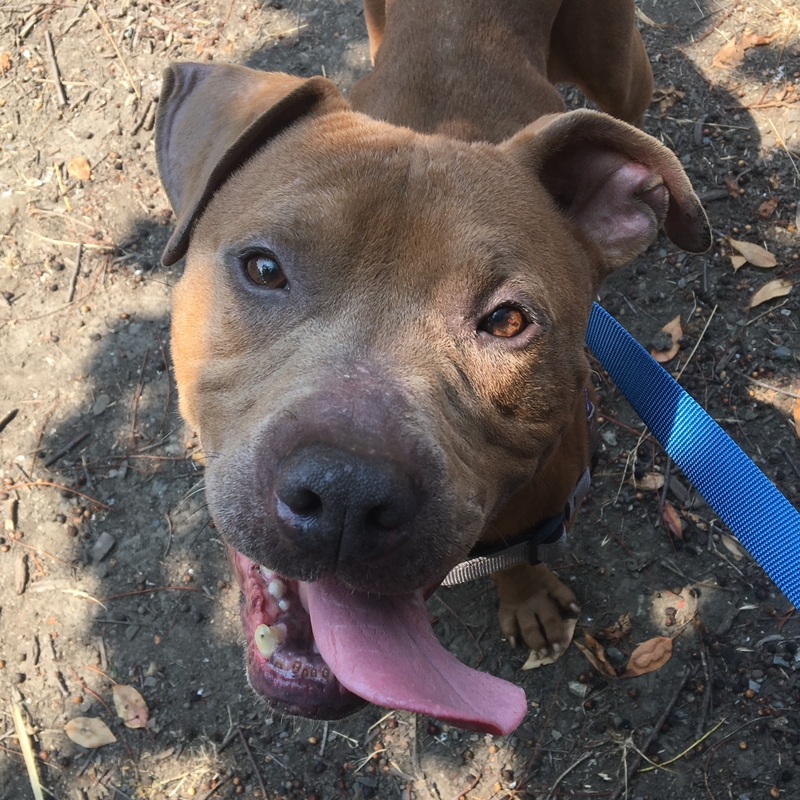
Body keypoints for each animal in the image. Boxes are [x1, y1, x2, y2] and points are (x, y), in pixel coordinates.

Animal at [156, 0, 712, 736]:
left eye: (507, 321)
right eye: (264, 268)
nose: (346, 491)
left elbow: (522, 556)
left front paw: (528, 597)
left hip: (623, 70)